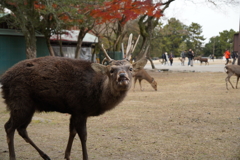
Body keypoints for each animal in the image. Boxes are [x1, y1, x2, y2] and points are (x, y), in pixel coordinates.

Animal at [0, 43, 137, 160]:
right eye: (111, 70)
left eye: (130, 68)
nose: (123, 77)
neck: (98, 97)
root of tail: (4, 79)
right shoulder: (80, 108)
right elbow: (83, 135)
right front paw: (85, 157)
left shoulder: (74, 110)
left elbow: (72, 132)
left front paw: (67, 156)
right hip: (20, 102)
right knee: (9, 127)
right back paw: (13, 157)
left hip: (28, 106)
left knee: (21, 129)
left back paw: (45, 155)